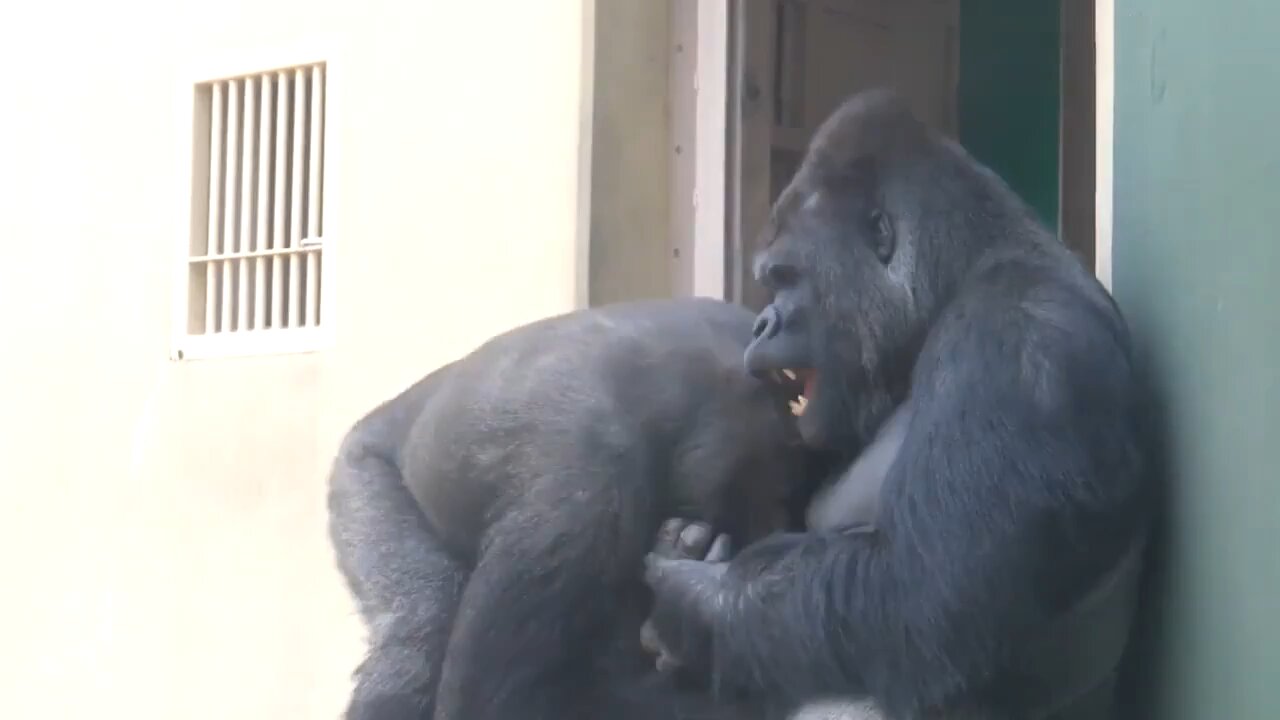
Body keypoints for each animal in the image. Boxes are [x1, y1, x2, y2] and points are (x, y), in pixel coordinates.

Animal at [325, 295, 814, 717]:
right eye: (777, 491)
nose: (777, 527)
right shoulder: (580, 502)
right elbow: (493, 701)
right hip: (360, 481)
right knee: (418, 630)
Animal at [645, 89, 1157, 717]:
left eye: (786, 276)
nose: (762, 323)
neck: (959, 277)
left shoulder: (1022, 339)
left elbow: (921, 598)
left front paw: (688, 598)